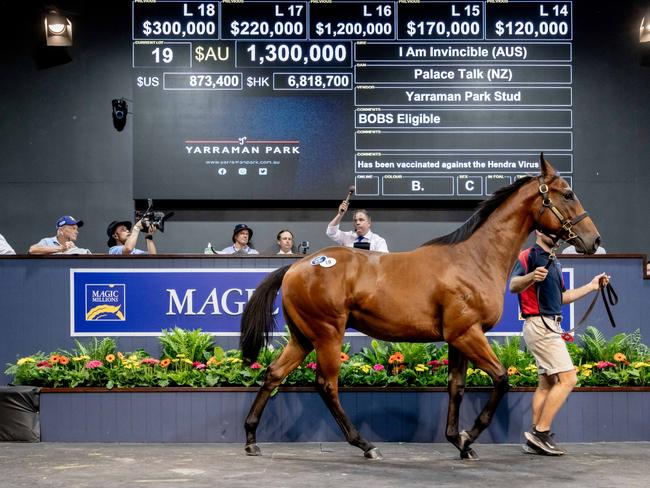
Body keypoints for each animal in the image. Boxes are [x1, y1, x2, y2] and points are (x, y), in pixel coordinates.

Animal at [238, 154, 596, 460]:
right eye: (567, 194)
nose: (593, 240)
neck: (473, 260)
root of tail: (298, 266)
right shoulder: (468, 334)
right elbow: (500, 379)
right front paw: (469, 436)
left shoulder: (458, 338)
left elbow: (456, 387)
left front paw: (459, 441)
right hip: (327, 334)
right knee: (327, 386)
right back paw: (366, 445)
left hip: (303, 338)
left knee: (274, 374)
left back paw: (252, 439)